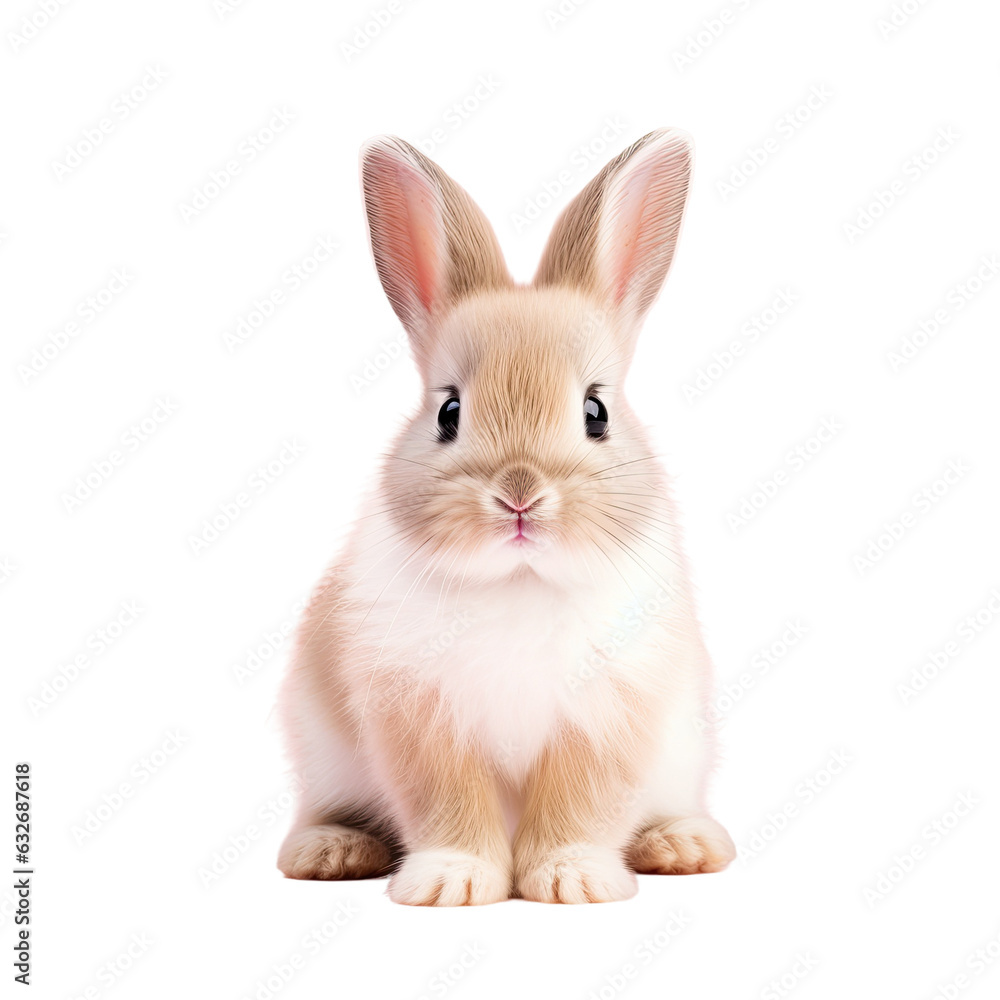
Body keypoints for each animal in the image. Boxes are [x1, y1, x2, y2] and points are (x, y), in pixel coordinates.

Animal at [278, 129, 740, 904]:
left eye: (596, 412)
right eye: (448, 412)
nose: (519, 495)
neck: (519, 580)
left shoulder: (607, 718)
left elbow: (579, 805)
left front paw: (573, 879)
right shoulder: (419, 720)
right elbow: (447, 805)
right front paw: (451, 882)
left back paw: (684, 845)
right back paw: (330, 852)